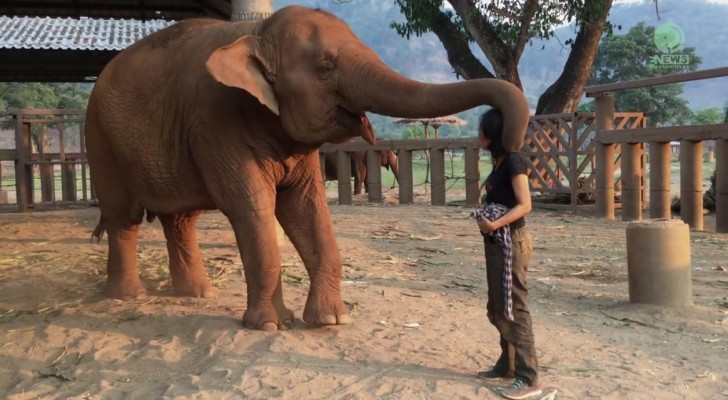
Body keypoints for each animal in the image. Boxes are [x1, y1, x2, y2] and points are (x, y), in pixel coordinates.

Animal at [84, 5, 528, 332]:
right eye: (325, 67)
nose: (507, 139)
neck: (257, 32)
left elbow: (307, 207)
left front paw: (332, 320)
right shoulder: (215, 124)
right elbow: (252, 208)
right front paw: (270, 325)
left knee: (180, 220)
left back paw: (196, 294)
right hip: (100, 138)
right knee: (124, 216)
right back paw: (128, 296)